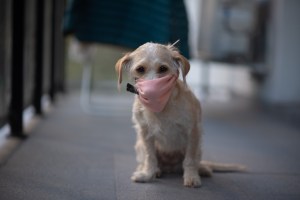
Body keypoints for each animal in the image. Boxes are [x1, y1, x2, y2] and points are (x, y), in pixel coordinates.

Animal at [115, 42, 246, 188]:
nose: (150, 92)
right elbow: (150, 157)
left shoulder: (193, 131)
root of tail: (170, 167)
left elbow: (189, 160)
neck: (162, 106)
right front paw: (147, 175)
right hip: (139, 145)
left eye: (163, 68)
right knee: (147, 161)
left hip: (199, 147)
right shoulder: (145, 133)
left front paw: (191, 177)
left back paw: (202, 169)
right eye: (140, 69)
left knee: (195, 162)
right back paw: (152, 170)